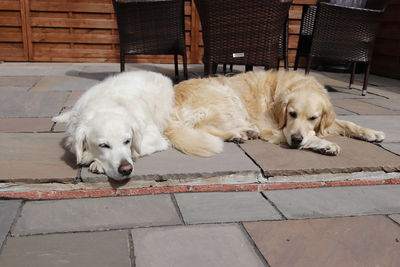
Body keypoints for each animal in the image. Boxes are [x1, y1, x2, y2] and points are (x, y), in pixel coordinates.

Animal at [166, 70, 384, 157]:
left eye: (313, 118)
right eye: (292, 114)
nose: (296, 139)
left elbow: (348, 124)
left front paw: (371, 133)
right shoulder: (272, 127)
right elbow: (306, 137)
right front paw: (325, 144)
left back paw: (243, 132)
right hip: (227, 95)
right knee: (204, 127)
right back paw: (238, 134)